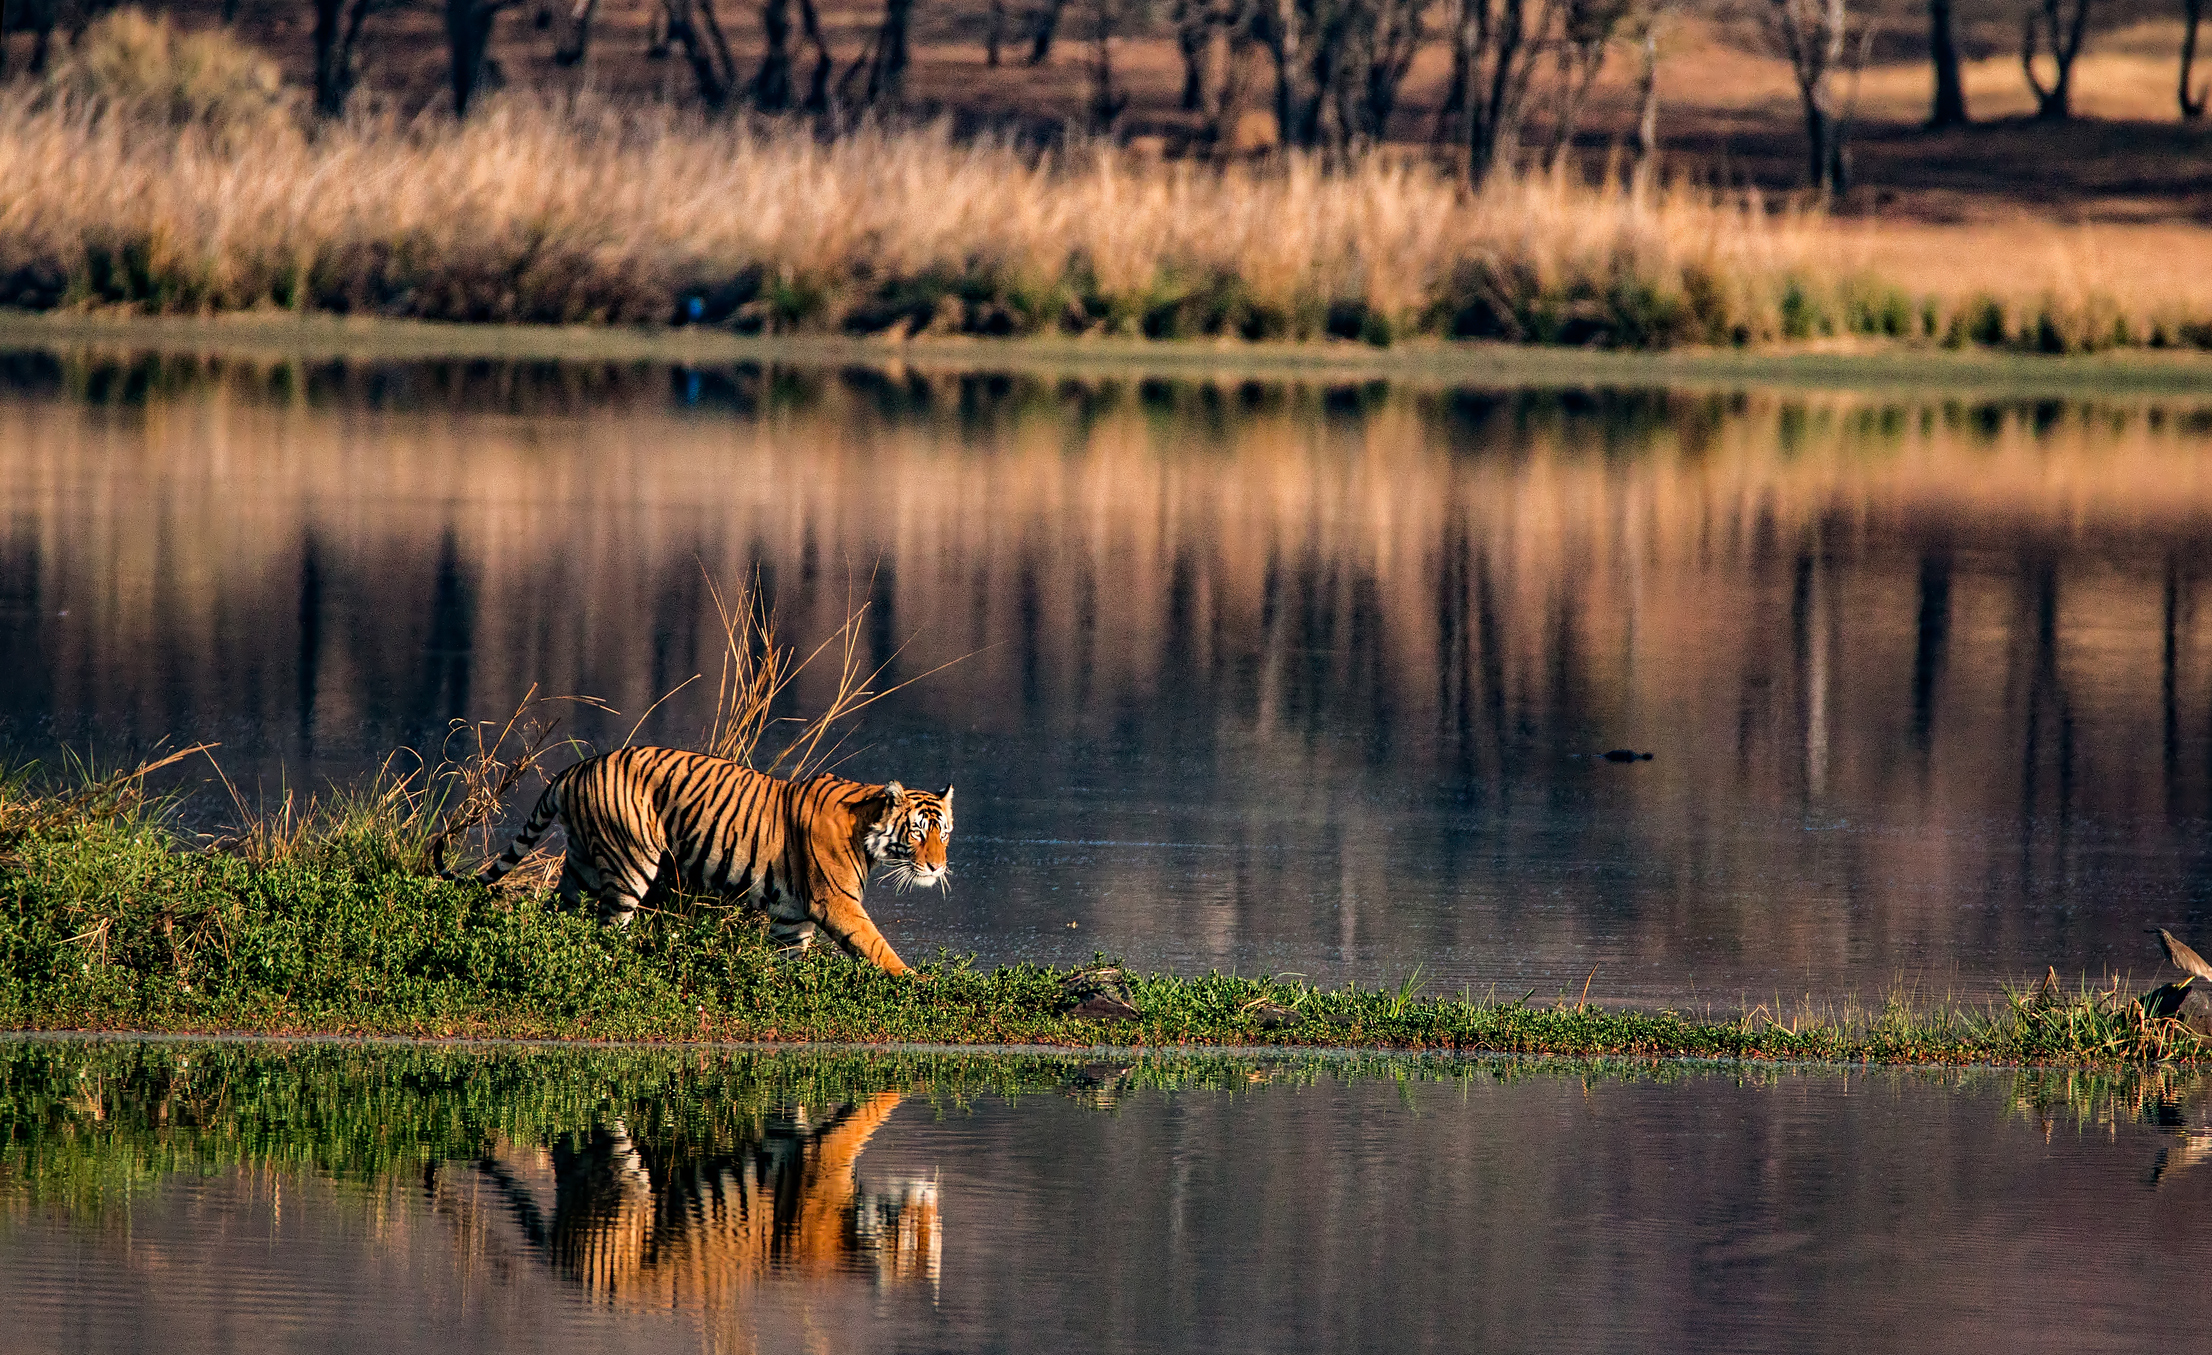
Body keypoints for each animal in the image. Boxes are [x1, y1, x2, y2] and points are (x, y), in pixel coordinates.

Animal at [440, 738, 951, 972]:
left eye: (943, 832)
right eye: (918, 833)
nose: (938, 865)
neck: (867, 828)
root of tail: (576, 768)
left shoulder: (793, 919)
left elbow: (787, 966)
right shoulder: (838, 904)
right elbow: (880, 950)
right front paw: (918, 982)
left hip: (580, 866)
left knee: (561, 917)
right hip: (630, 863)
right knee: (608, 928)